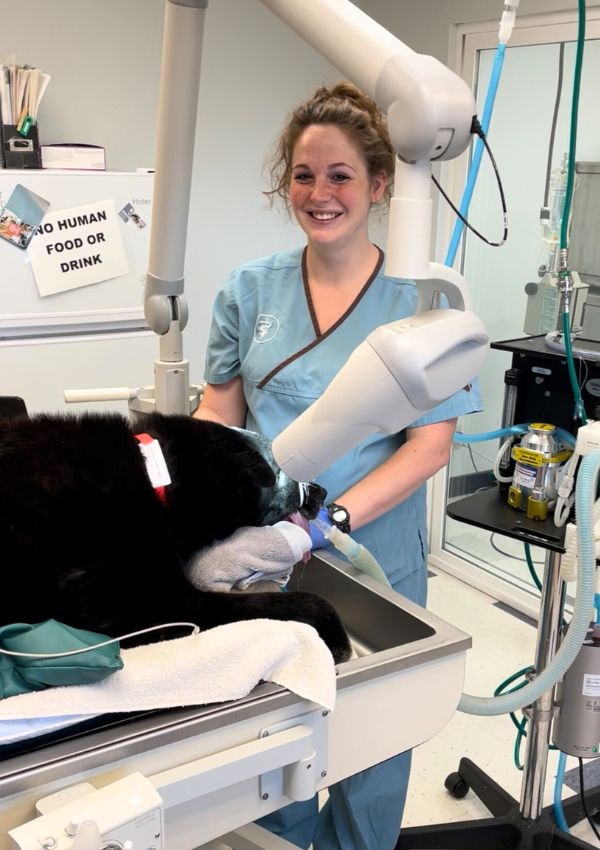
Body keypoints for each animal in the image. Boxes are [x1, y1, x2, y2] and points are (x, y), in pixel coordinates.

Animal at [0, 414, 352, 660]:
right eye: (281, 471)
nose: (322, 492)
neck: (158, 481)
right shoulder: (158, 607)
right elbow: (304, 601)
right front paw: (336, 634)